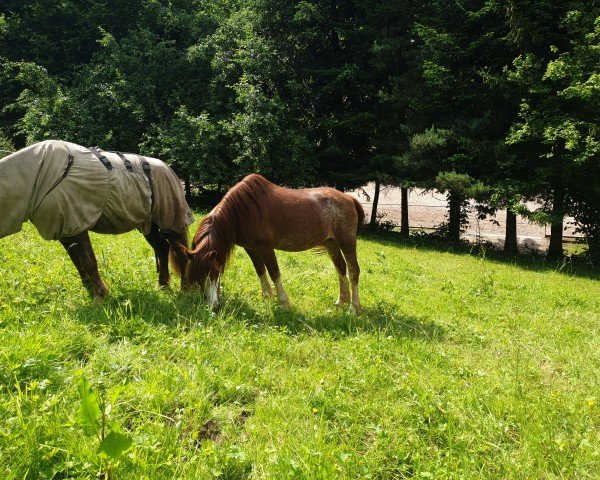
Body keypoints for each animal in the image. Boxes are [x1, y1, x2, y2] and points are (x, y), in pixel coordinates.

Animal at [0, 141, 193, 302]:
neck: (38, 173)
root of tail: (169, 170)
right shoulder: (66, 231)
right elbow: (77, 263)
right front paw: (89, 291)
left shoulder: (77, 227)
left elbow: (88, 262)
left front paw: (100, 296)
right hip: (148, 225)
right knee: (161, 248)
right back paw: (163, 286)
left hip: (170, 221)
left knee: (181, 253)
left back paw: (185, 289)